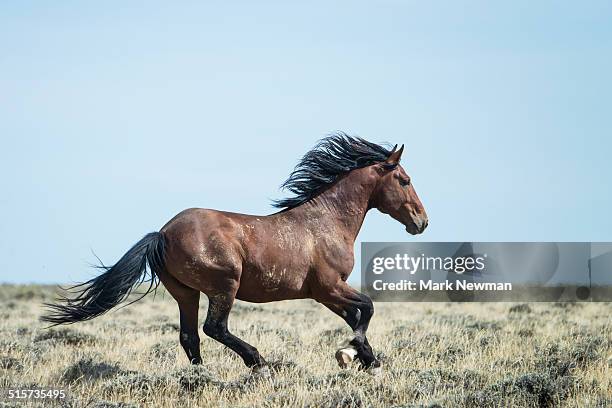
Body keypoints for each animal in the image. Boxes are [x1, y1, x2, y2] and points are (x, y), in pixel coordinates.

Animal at [43, 134, 428, 376]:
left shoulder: (327, 293)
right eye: (405, 180)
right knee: (214, 327)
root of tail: (162, 234)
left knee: (190, 336)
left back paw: (200, 379)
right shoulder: (328, 288)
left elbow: (356, 315)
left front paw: (364, 359)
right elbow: (367, 309)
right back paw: (258, 362)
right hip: (223, 286)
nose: (422, 222)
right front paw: (352, 354)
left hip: (186, 293)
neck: (325, 221)